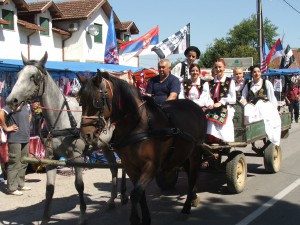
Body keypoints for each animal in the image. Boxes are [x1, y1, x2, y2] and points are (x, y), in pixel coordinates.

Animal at [5, 51, 127, 224]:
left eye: (34, 76)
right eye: (19, 74)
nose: (11, 101)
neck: (62, 117)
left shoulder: (77, 157)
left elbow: (79, 185)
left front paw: (82, 215)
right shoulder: (51, 157)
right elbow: (49, 189)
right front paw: (45, 218)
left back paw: (123, 195)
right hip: (105, 146)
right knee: (114, 167)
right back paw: (111, 200)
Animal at [77, 71, 207, 225]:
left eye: (96, 101)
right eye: (80, 101)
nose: (86, 135)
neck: (138, 125)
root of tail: (195, 106)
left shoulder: (152, 166)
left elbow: (135, 194)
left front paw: (135, 219)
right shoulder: (130, 166)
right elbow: (140, 194)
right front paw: (145, 218)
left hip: (195, 153)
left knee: (192, 177)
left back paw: (186, 208)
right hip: (183, 154)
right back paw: (193, 197)